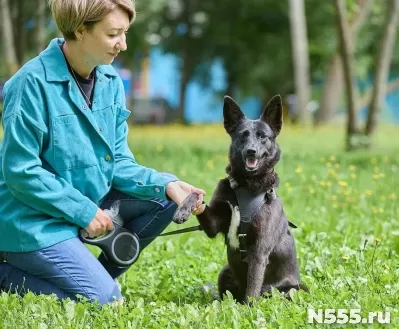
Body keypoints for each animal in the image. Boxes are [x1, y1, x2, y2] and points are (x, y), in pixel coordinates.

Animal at [173, 95, 306, 302]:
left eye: (262, 136)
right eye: (243, 135)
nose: (251, 151)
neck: (246, 186)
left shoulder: (259, 252)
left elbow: (252, 290)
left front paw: (249, 308)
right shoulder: (214, 224)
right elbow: (197, 196)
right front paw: (183, 209)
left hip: (292, 289)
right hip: (225, 272)